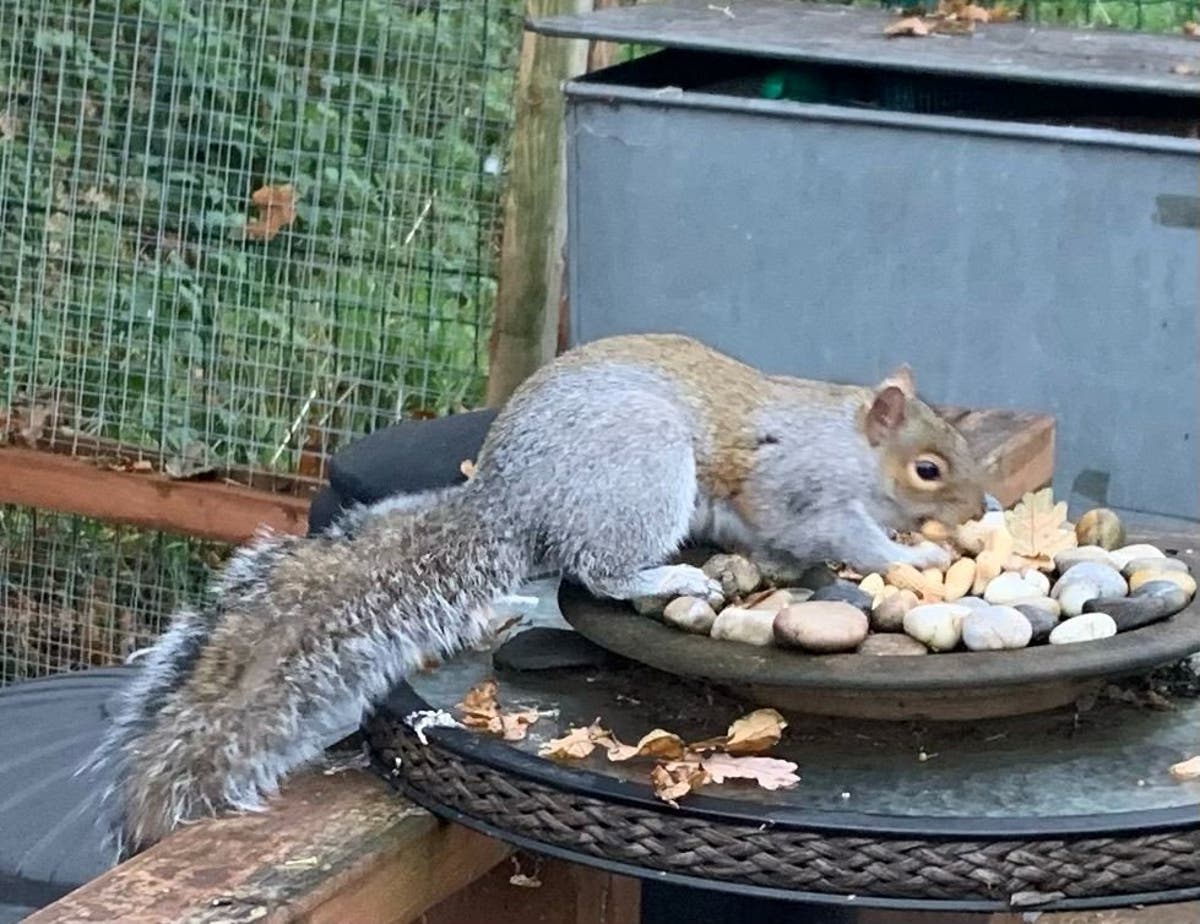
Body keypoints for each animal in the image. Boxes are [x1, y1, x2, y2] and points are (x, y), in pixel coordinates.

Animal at [87, 328, 984, 849]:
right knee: (601, 568)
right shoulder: (803, 488)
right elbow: (839, 533)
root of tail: (512, 498)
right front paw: (915, 556)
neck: (849, 444)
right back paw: (671, 570)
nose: (982, 510)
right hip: (640, 473)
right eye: (928, 469)